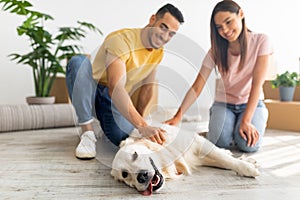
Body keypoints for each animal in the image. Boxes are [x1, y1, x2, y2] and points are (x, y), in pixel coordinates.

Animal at [110, 123, 260, 195]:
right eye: (125, 174)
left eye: (135, 154)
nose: (142, 177)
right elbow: (222, 161)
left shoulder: (197, 144)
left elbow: (225, 159)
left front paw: (248, 168)